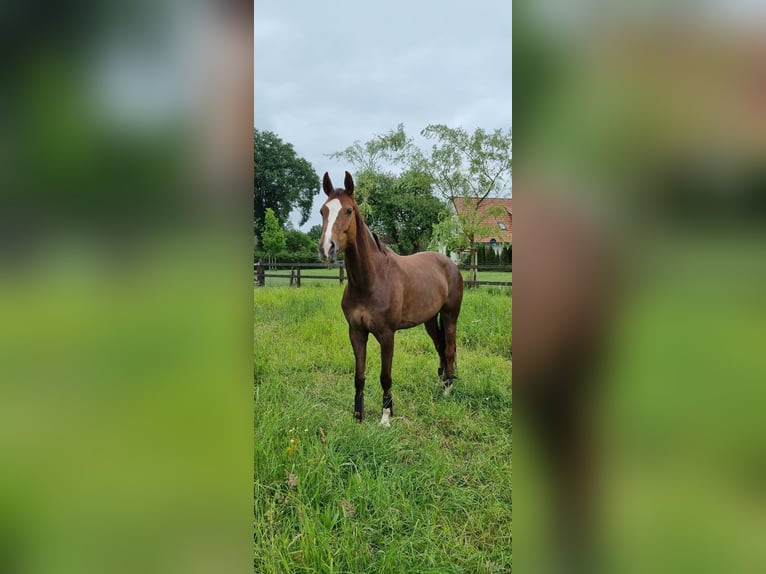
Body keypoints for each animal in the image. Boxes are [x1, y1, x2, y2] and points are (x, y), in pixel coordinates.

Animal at [316, 171, 464, 428]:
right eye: (323, 211)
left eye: (349, 211)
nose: (327, 249)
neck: (370, 281)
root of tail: (451, 265)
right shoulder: (356, 332)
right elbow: (359, 376)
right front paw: (358, 416)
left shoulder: (387, 335)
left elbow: (385, 375)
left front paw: (386, 416)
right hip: (430, 320)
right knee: (439, 347)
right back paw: (440, 383)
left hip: (450, 317)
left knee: (449, 348)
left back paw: (448, 389)